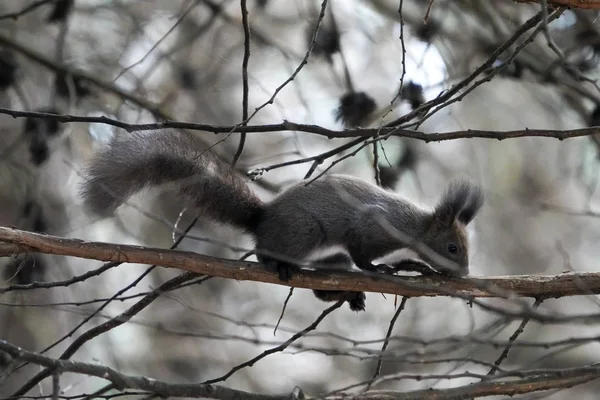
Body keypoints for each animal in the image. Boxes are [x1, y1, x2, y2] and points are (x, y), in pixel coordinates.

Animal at [79, 130, 486, 310]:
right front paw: (381, 269)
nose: (466, 273)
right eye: (452, 246)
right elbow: (362, 254)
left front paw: (413, 266)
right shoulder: (370, 225)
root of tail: (262, 219)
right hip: (304, 231)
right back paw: (280, 265)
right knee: (267, 251)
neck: (412, 225)